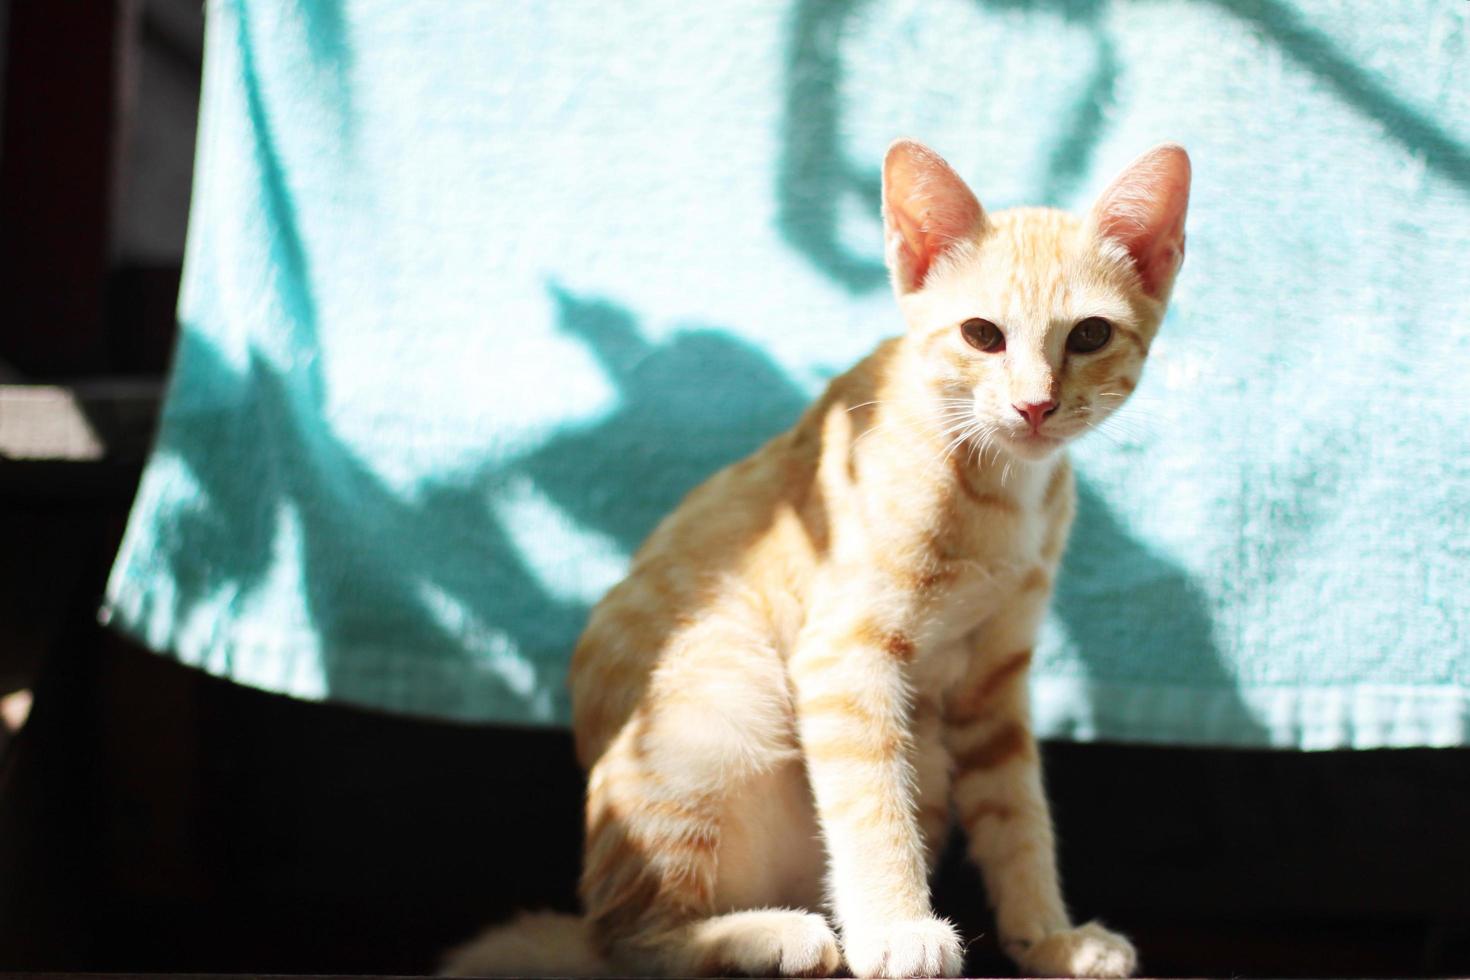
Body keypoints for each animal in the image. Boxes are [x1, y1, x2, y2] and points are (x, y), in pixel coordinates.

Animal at [441, 139, 1187, 980]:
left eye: (1089, 336)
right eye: (982, 335)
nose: (1034, 406)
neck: (1001, 489)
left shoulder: (996, 682)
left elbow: (1018, 815)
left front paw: (1048, 937)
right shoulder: (844, 652)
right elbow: (871, 800)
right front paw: (899, 927)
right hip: (722, 703)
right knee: (630, 942)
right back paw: (773, 936)